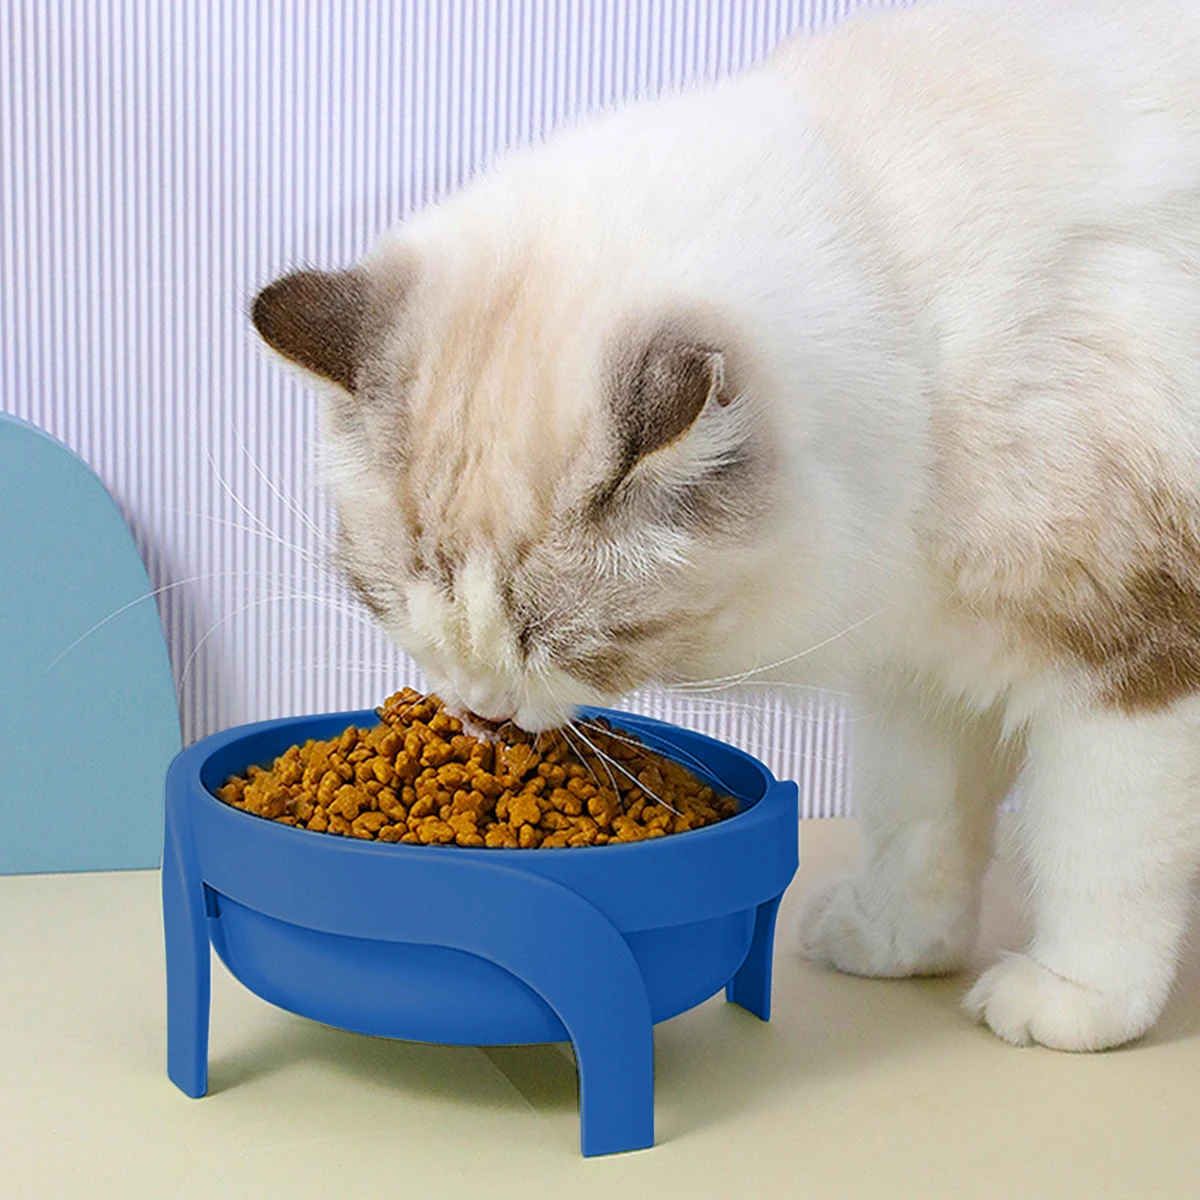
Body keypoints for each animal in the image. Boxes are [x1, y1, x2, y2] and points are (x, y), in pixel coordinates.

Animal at [251, 0, 1200, 1053]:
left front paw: (1075, 1001)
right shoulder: (921, 665)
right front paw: (894, 947)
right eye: (396, 616)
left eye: (564, 647)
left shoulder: (1135, 657)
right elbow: (922, 824)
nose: (480, 716)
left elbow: (1101, 854)